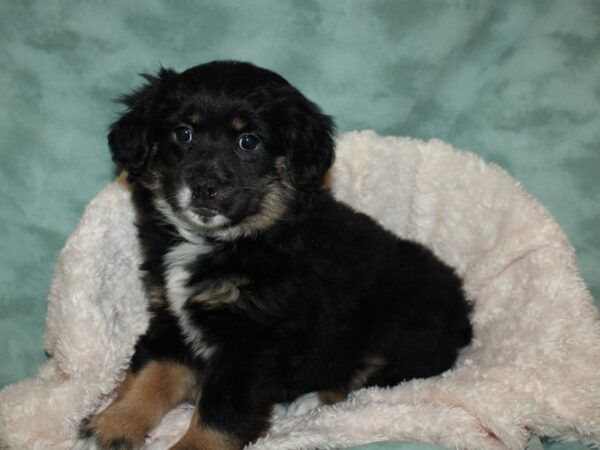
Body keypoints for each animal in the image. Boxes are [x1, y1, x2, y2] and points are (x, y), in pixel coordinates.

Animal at [81, 60, 474, 450]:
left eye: (248, 141)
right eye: (183, 133)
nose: (204, 187)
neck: (225, 242)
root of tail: (463, 311)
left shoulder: (255, 342)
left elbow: (221, 408)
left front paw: (193, 444)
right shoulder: (171, 316)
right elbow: (150, 373)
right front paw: (112, 426)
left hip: (403, 326)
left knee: (370, 377)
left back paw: (310, 400)